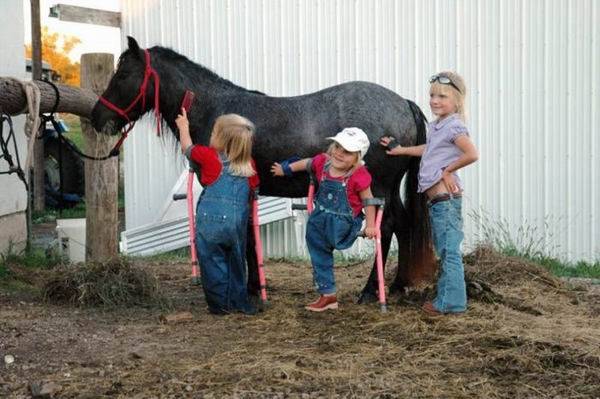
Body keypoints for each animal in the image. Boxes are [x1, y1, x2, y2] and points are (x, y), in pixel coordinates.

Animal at [90, 37, 436, 304]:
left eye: (123, 74)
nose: (97, 117)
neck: (216, 113)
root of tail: (403, 103)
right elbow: (247, 236)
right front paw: (255, 287)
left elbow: (239, 235)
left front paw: (245, 289)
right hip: (389, 189)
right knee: (403, 225)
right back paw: (398, 285)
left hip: (377, 189)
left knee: (386, 227)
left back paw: (371, 291)